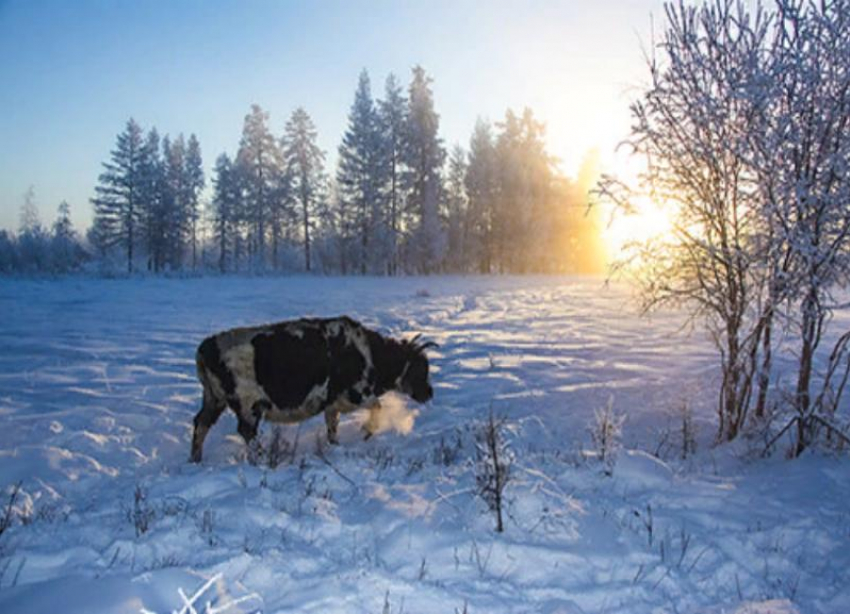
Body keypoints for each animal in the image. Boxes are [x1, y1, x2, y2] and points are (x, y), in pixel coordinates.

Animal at [188, 316, 434, 464]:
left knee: (201, 423)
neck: (369, 354)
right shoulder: (357, 393)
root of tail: (206, 347)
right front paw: (367, 431)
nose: (429, 393)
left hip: (214, 399)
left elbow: (332, 427)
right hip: (248, 405)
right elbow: (377, 406)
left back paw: (196, 459)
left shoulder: (332, 404)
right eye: (420, 369)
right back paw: (261, 457)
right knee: (246, 431)